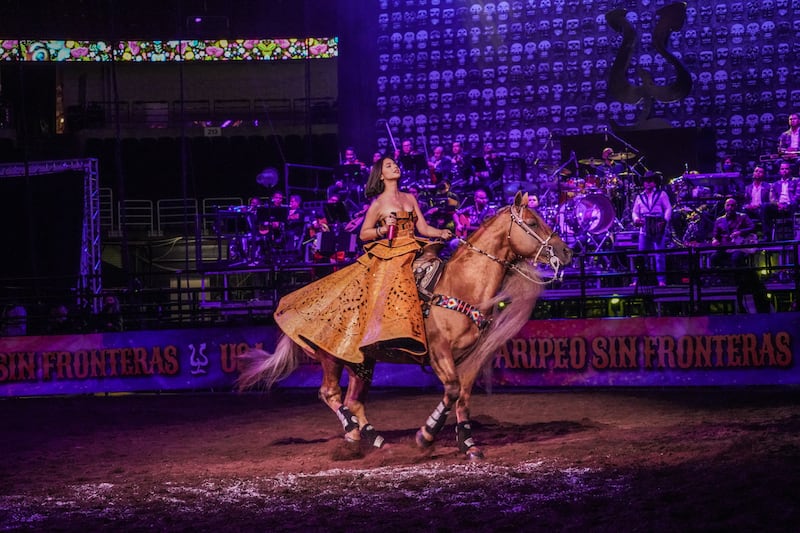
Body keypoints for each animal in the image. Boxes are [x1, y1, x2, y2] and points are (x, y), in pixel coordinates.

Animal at [238, 191, 568, 458]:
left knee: (354, 400)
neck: (459, 286)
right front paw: (426, 436)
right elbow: (451, 390)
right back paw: (352, 436)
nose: (567, 251)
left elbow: (463, 397)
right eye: (533, 222)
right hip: (331, 356)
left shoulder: (470, 356)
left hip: (361, 362)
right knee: (331, 394)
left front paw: (469, 445)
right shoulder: (439, 352)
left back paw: (375, 439)